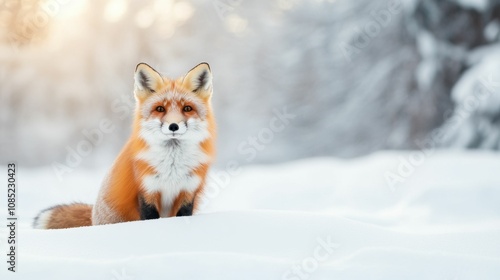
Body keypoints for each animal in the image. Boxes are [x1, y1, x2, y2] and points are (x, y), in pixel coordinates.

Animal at [32, 62, 217, 229]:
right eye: (160, 109)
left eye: (187, 108)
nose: (173, 126)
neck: (172, 166)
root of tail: (93, 216)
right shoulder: (146, 190)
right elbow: (150, 218)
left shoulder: (188, 192)